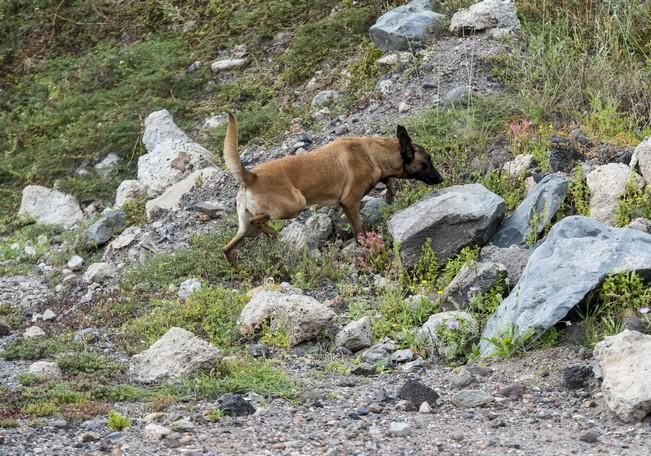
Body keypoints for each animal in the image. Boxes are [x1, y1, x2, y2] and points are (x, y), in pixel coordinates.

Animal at [223, 114, 444, 262]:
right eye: (427, 162)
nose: (441, 179)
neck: (372, 154)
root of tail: (251, 177)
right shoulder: (350, 203)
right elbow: (359, 231)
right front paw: (366, 246)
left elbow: (388, 181)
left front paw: (389, 194)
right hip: (294, 205)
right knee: (258, 220)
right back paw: (272, 233)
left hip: (246, 229)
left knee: (227, 248)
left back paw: (237, 266)